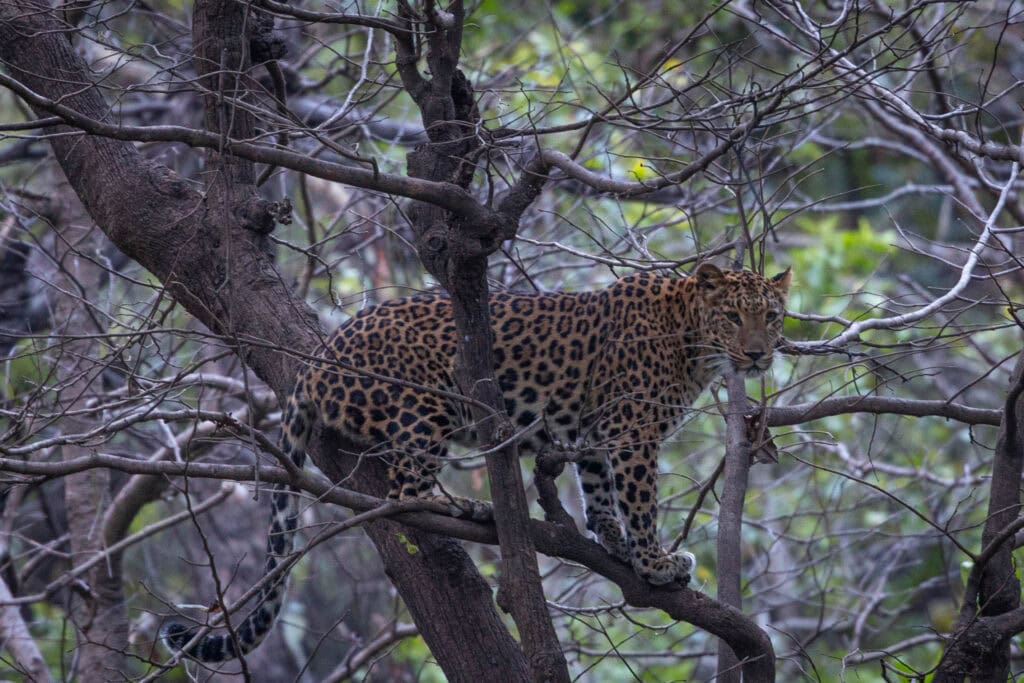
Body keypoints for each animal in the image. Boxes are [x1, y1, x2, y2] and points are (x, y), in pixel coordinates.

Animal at [161, 262, 791, 663]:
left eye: (773, 317)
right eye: (733, 316)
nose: (759, 355)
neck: (693, 343)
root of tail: (318, 357)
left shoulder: (596, 434)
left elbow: (599, 493)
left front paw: (613, 543)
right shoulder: (632, 432)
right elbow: (638, 501)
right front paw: (655, 562)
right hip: (427, 401)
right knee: (405, 488)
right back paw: (466, 506)